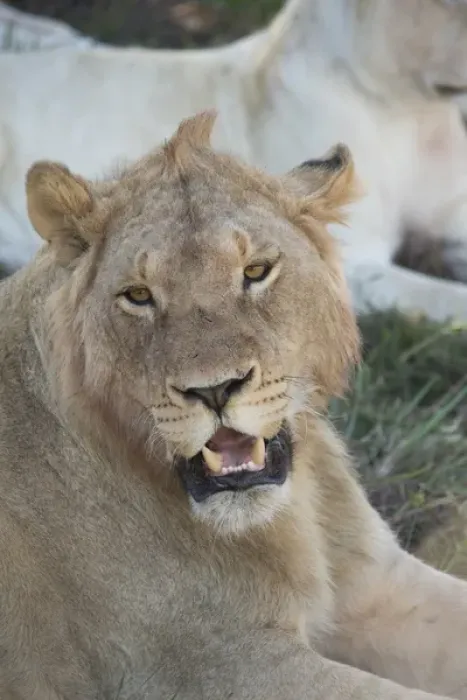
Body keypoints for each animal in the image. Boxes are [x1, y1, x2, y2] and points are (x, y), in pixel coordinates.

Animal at [1, 111, 467, 700]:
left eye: (256, 271)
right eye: (138, 295)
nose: (214, 390)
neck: (294, 512)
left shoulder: (377, 583)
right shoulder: (219, 665)